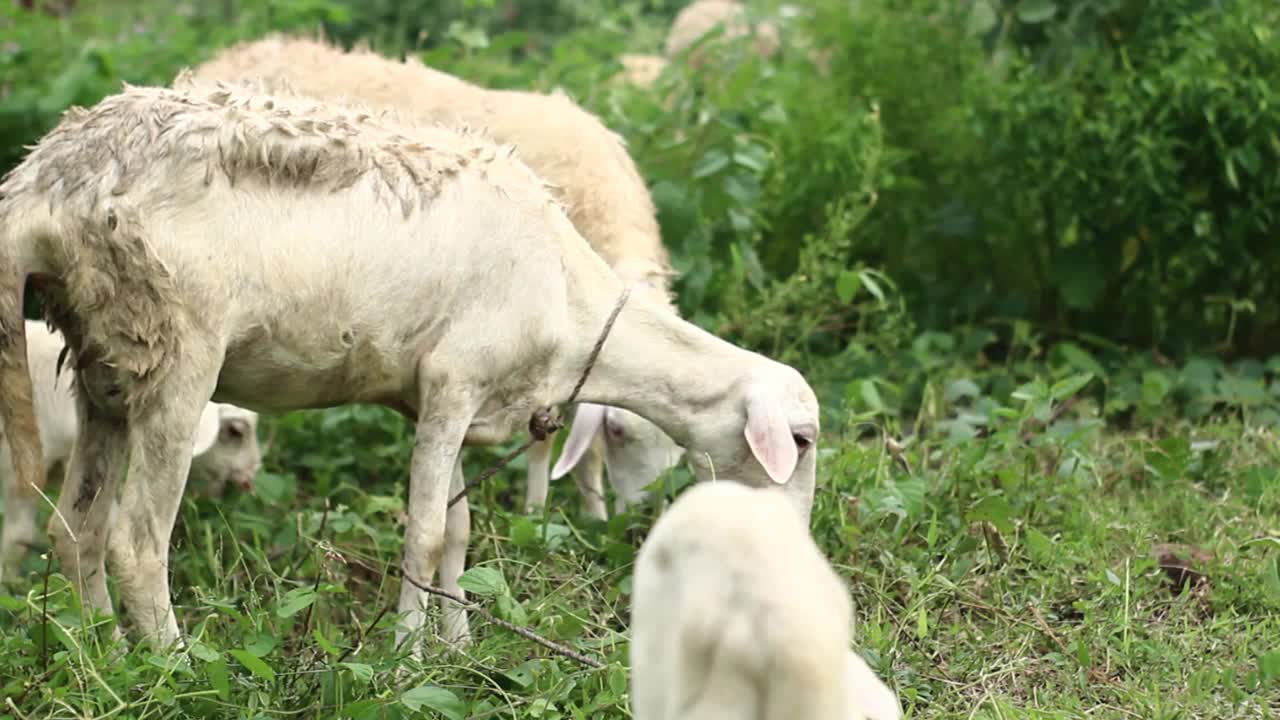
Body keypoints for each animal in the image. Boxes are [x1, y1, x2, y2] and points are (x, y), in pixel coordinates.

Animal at [189, 33, 686, 520]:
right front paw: (535, 515)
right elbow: (543, 444)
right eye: (619, 432)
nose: (643, 515)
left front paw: (592, 515)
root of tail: (244, 48)